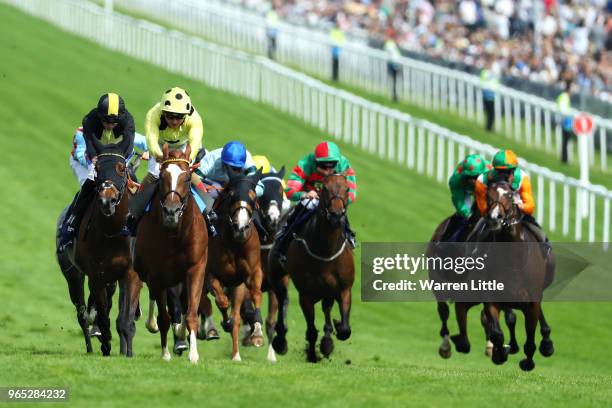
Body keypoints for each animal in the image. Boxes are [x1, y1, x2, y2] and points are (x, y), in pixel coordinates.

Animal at [55, 145, 140, 356]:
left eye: (123, 170)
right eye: (98, 169)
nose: (108, 201)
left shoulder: (130, 273)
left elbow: (125, 320)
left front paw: (128, 352)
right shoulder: (96, 275)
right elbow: (102, 316)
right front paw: (105, 344)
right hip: (72, 274)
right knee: (82, 314)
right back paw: (90, 347)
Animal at [133, 145, 207, 362]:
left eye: (187, 178)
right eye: (162, 176)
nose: (171, 211)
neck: (176, 233)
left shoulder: (196, 268)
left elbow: (191, 313)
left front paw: (193, 354)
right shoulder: (156, 274)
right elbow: (164, 317)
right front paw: (165, 353)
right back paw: (152, 324)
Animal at [206, 171, 266, 362]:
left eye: (254, 197)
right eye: (231, 195)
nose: (241, 227)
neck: (235, 243)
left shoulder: (247, 276)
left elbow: (255, 294)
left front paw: (256, 333)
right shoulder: (210, 274)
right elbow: (222, 301)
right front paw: (225, 322)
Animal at [272, 174, 354, 362]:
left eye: (347, 188)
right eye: (324, 188)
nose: (336, 215)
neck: (325, 251)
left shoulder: (344, 288)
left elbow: (345, 330)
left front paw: (334, 331)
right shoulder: (306, 295)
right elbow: (311, 331)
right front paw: (312, 355)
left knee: (326, 307)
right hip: (277, 273)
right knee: (282, 298)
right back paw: (280, 341)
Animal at [480, 181, 556, 370]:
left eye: (509, 195)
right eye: (488, 196)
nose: (495, 218)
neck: (513, 259)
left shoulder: (532, 301)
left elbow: (529, 340)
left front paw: (527, 362)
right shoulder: (492, 297)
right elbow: (498, 332)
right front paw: (500, 353)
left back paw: (547, 343)